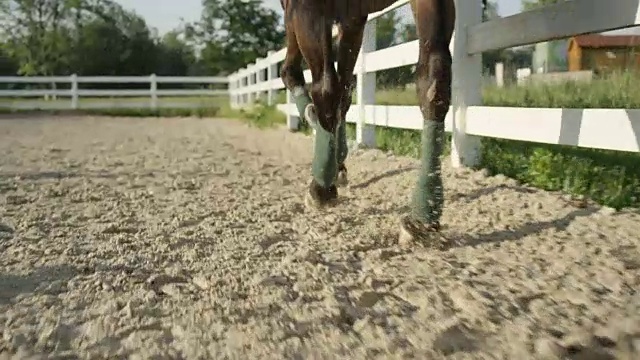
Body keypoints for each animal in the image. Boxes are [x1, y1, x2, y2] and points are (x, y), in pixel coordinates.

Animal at [278, 0, 458, 245]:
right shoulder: (353, 18)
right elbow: (344, 92)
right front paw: (338, 162)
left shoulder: (300, 8)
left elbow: (307, 78)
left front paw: (327, 174)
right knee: (435, 76)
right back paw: (424, 216)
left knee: (320, 84)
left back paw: (321, 186)